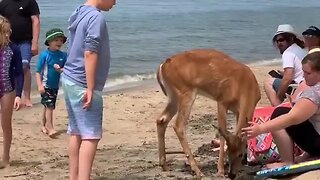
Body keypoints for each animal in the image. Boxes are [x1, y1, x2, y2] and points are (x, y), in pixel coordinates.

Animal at [156, 48, 262, 179]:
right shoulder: (222, 101)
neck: (245, 87)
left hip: (173, 96)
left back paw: (164, 165)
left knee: (161, 119)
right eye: (228, 152)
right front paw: (220, 170)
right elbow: (221, 132)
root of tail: (162, 66)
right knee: (178, 125)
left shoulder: (238, 111)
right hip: (186, 92)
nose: (231, 174)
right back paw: (198, 171)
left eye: (240, 154)